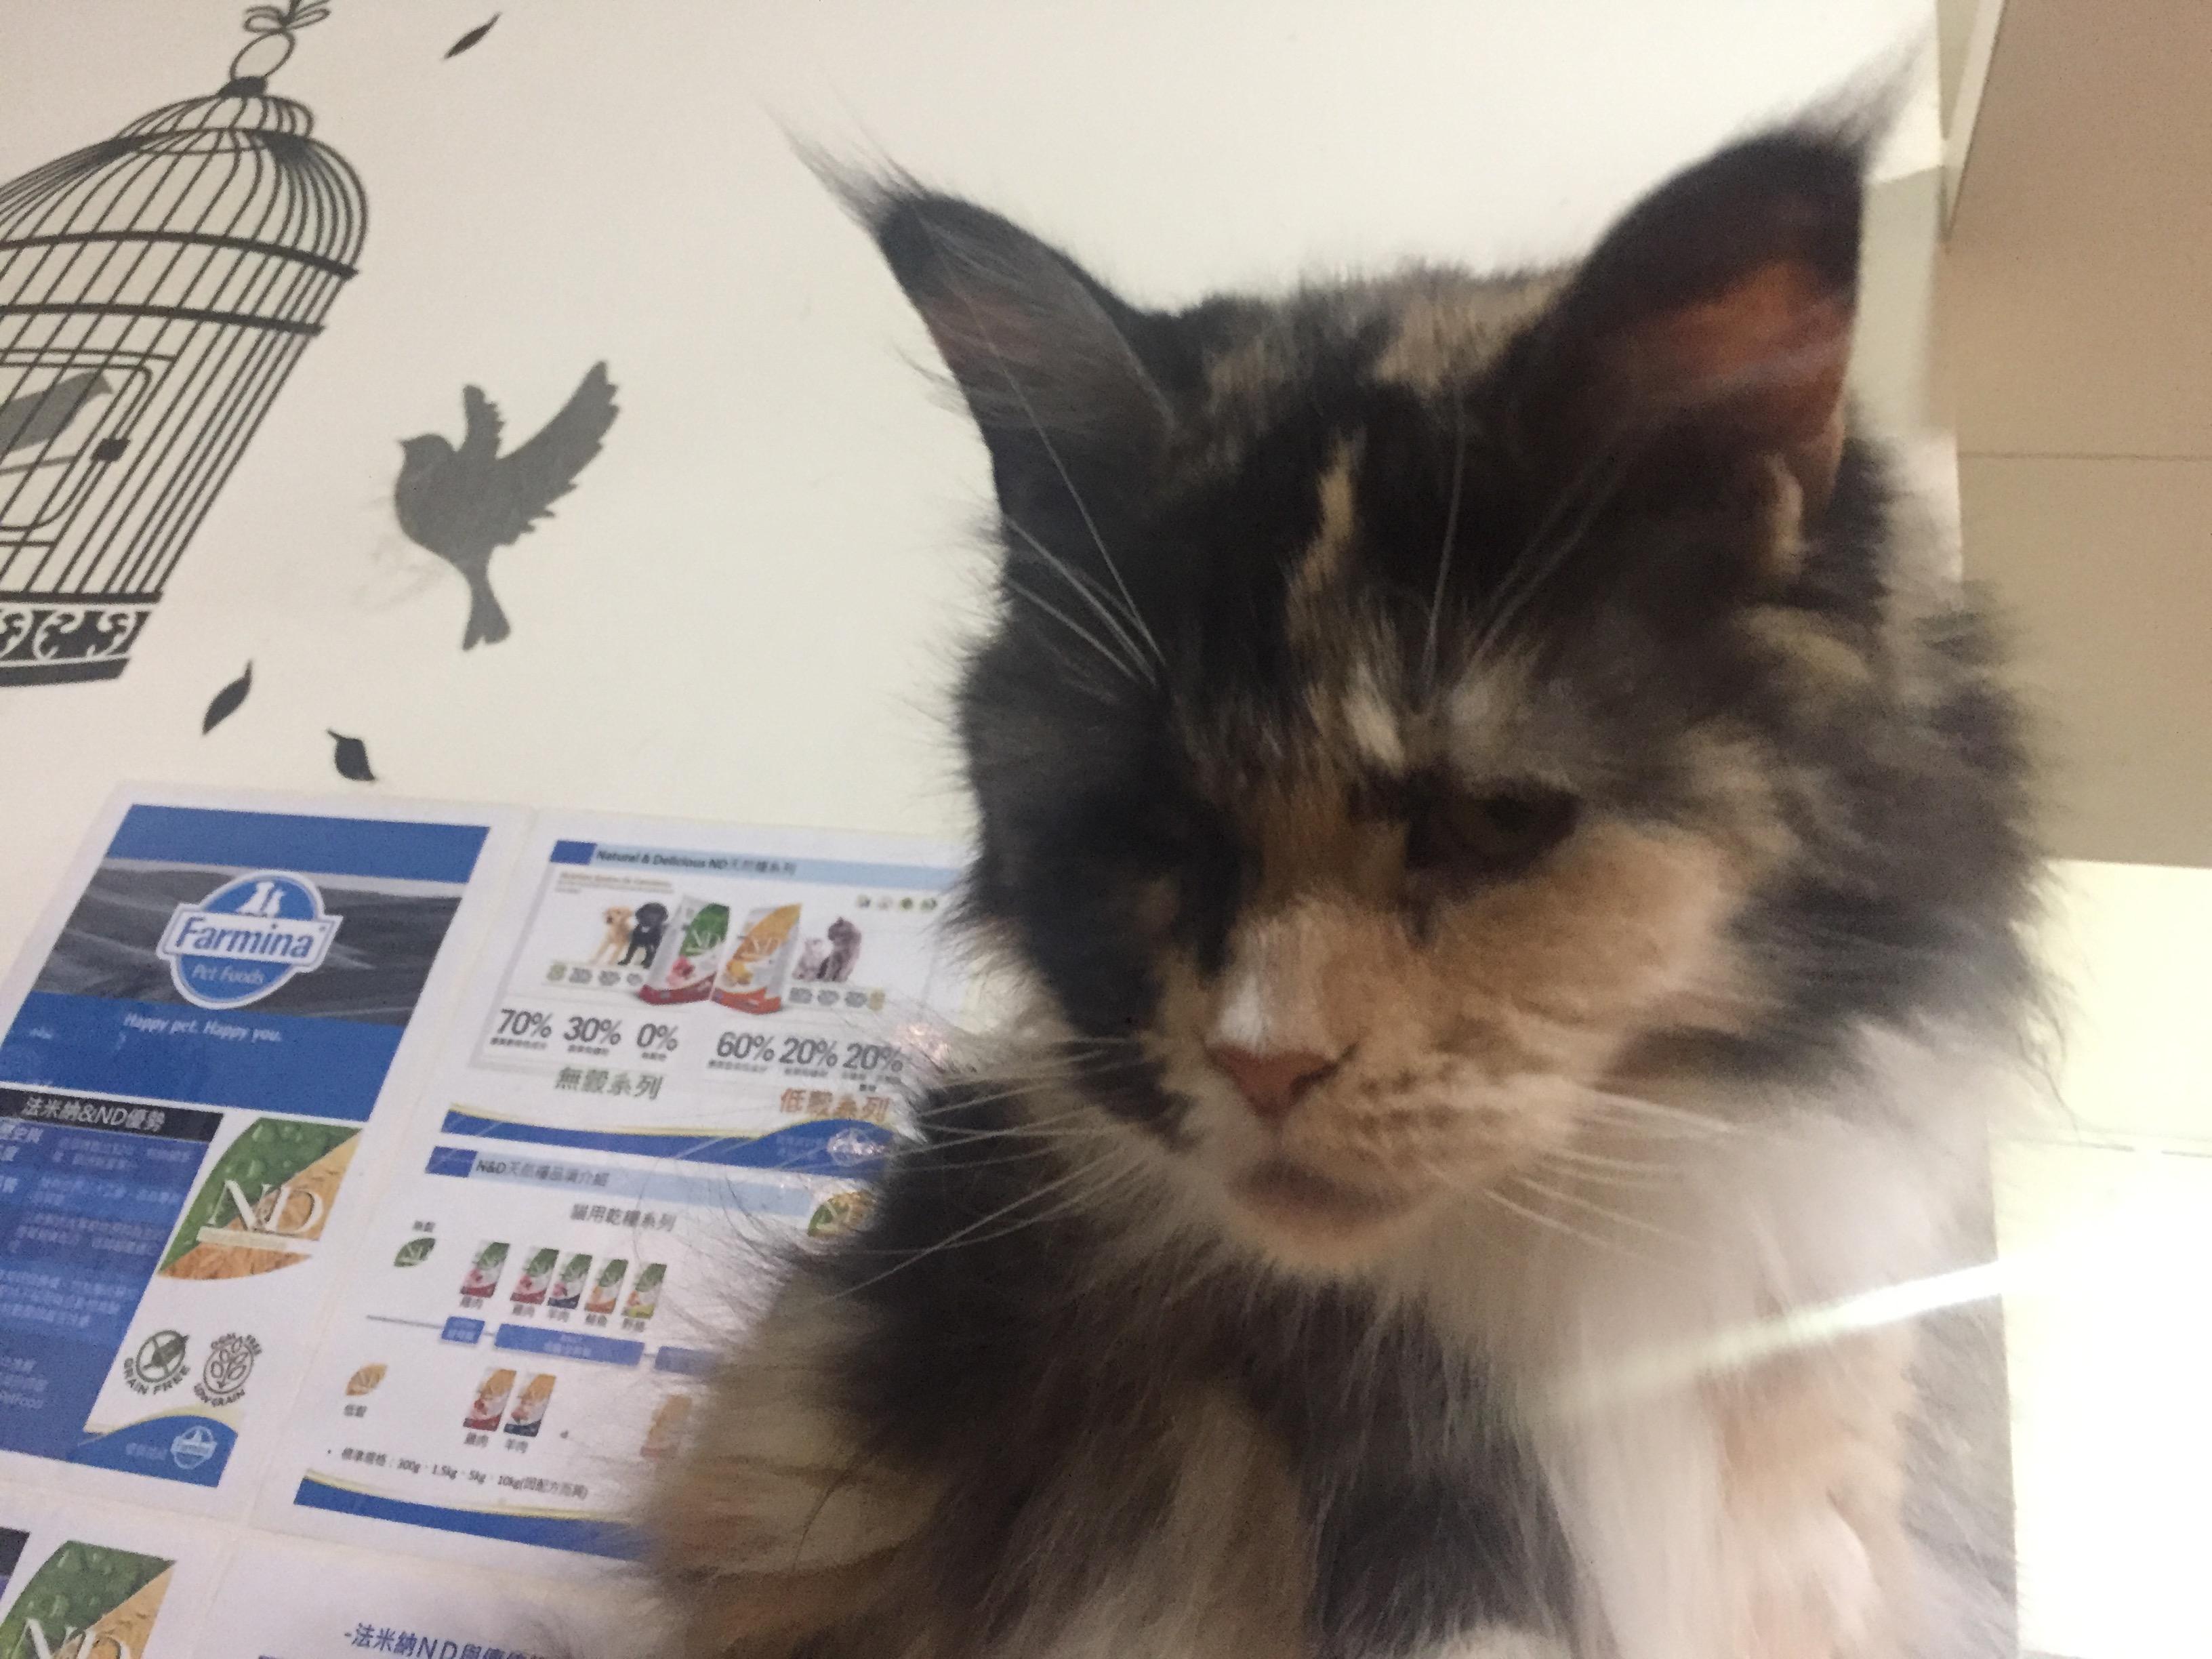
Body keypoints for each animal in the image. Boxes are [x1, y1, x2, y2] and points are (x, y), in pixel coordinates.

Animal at [645, 112, 2040, 1659]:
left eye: (1489, 820)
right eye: (1160, 825)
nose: (1263, 1061)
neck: (1588, 1265)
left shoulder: (1819, 1429)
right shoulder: (1379, 1461)